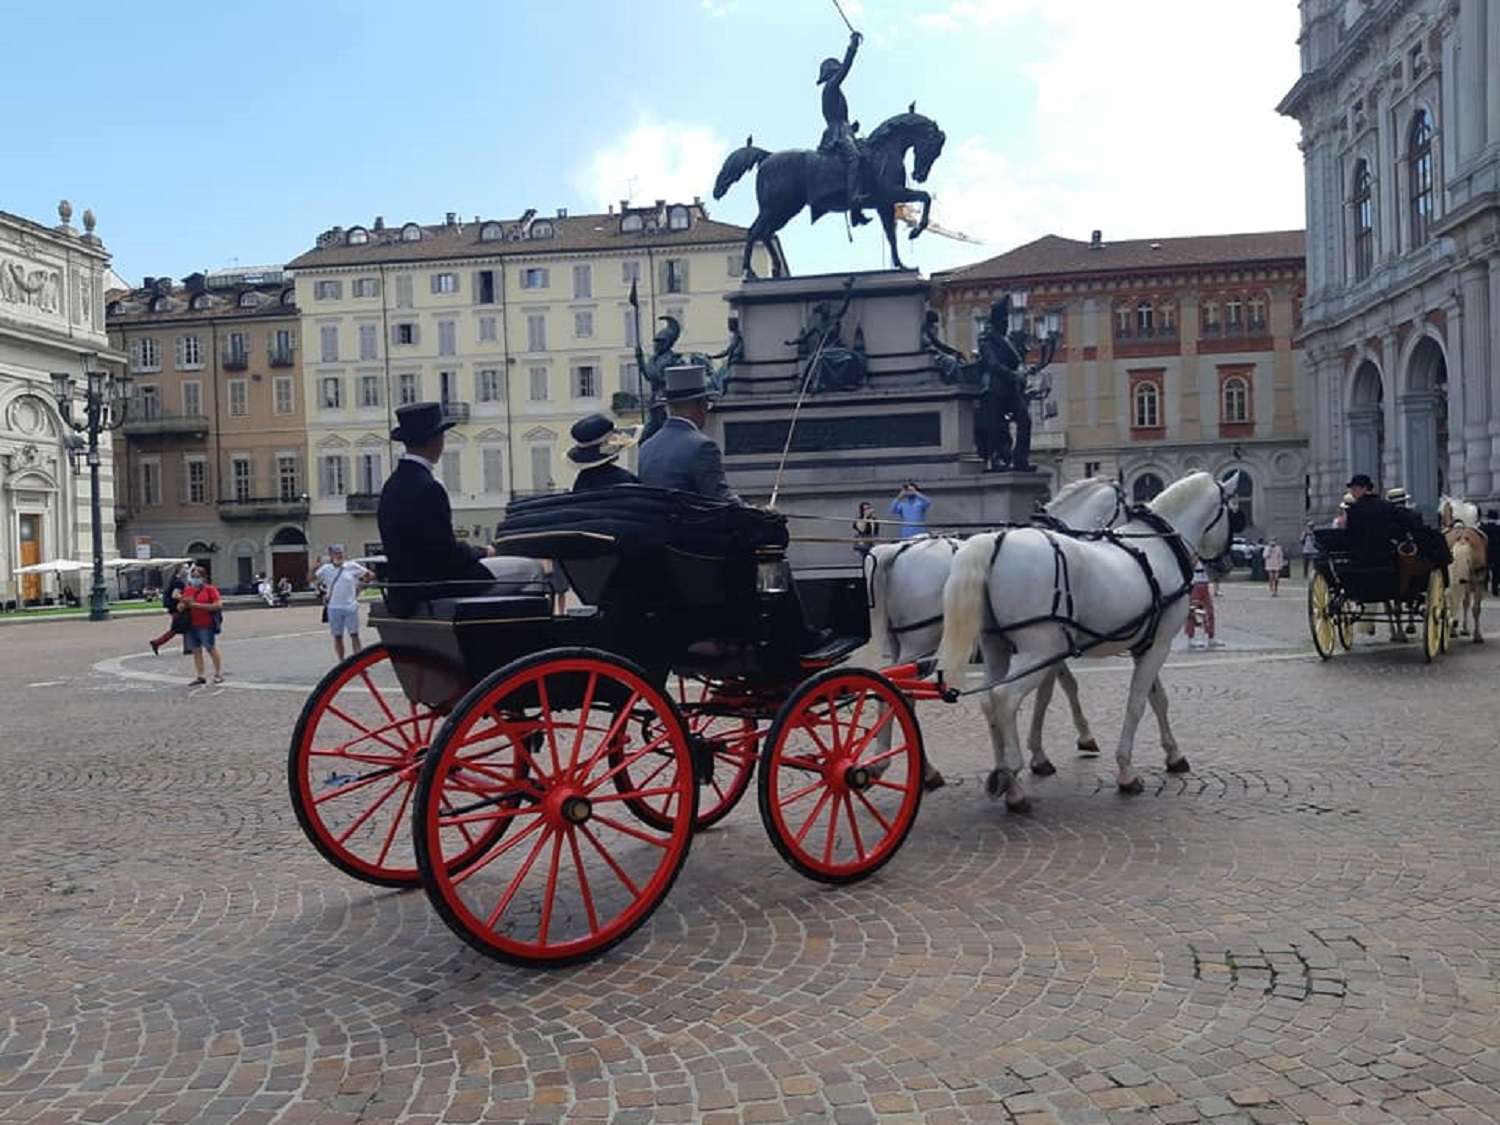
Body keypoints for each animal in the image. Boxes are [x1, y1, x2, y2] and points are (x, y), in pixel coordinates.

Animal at [864, 477, 1128, 786]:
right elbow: (1051, 692)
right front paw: (1052, 750)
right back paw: (909, 766)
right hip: (919, 643)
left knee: (892, 690)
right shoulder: (1046, 644)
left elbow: (1062, 685)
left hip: (903, 645)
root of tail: (896, 550)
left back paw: (905, 763)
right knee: (900, 694)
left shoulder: (1049, 645)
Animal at [936, 471, 1242, 816]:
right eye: (1234, 512)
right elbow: (1136, 704)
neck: (1158, 547)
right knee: (1004, 697)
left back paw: (1003, 774)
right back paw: (1011, 777)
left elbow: (1157, 699)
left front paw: (1173, 754)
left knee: (989, 700)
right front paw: (1125, 771)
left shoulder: (1144, 645)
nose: (1227, 564)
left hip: (996, 648)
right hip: (1037, 650)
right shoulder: (1157, 645)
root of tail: (995, 542)